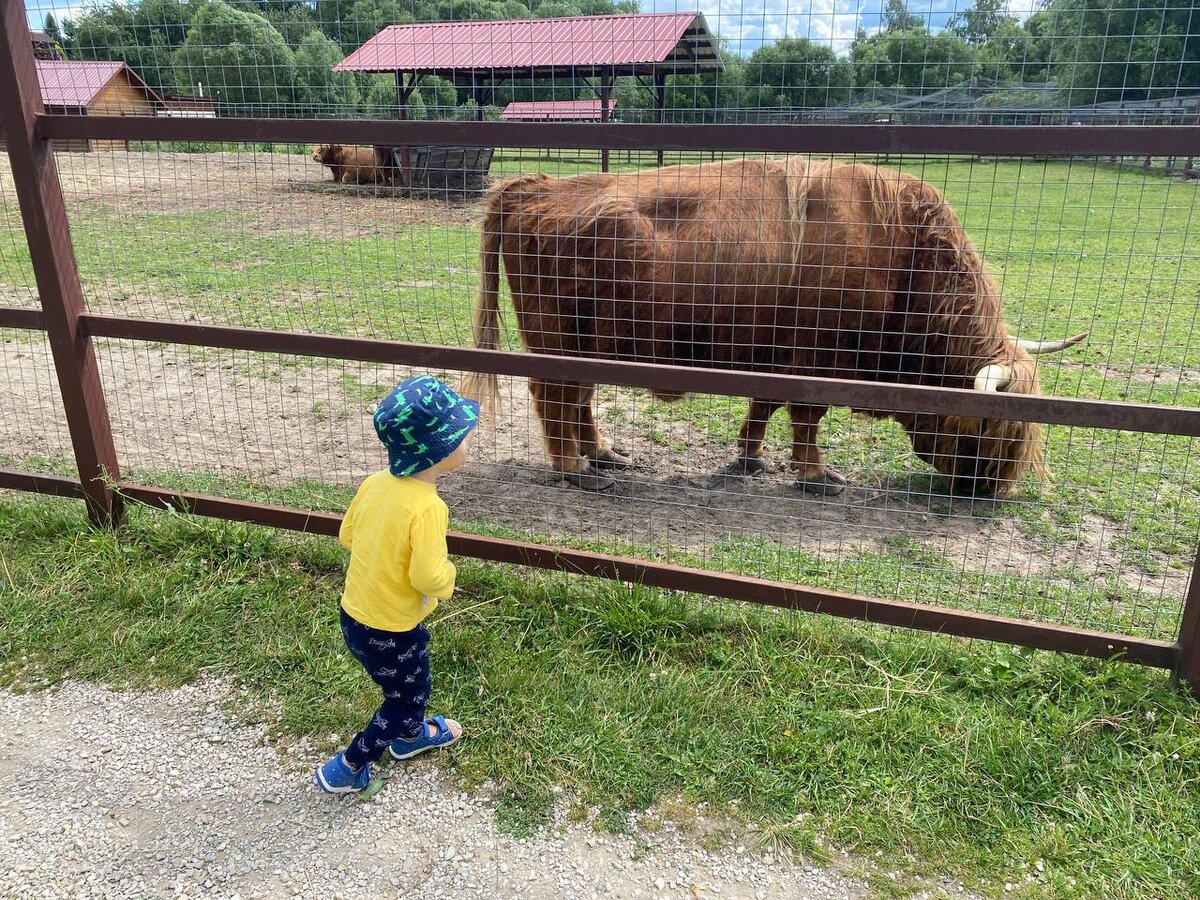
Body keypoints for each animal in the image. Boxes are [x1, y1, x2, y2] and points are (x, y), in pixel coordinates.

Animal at [463, 163, 1084, 501]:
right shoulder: (817, 361)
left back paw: (603, 455)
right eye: (989, 429)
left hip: (593, 344)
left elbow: (764, 406)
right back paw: (575, 469)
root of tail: (534, 187)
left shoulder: (778, 357)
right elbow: (807, 419)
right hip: (557, 341)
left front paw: (750, 458)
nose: (988, 492)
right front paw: (815, 475)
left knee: (580, 398)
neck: (903, 253)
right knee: (556, 397)